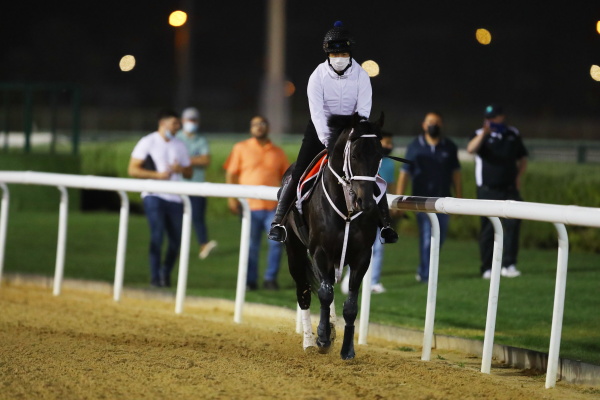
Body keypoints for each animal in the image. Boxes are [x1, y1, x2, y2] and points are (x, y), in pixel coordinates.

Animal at [282, 112, 384, 360]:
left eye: (379, 155)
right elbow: (325, 294)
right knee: (305, 291)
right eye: (355, 155)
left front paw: (347, 348)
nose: (365, 202)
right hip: (294, 249)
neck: (346, 209)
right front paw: (321, 337)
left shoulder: (361, 257)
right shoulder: (320, 252)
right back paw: (309, 341)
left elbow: (350, 305)